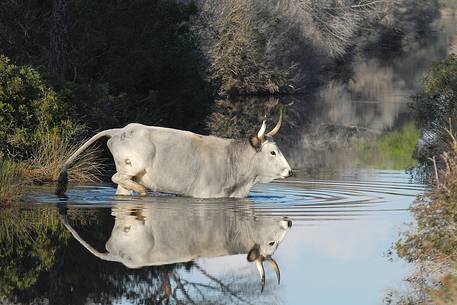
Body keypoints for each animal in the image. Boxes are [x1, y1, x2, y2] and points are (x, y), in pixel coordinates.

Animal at [55, 112, 290, 197]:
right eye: (272, 152)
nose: (289, 171)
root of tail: (120, 130)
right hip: (133, 165)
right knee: (116, 177)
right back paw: (143, 191)